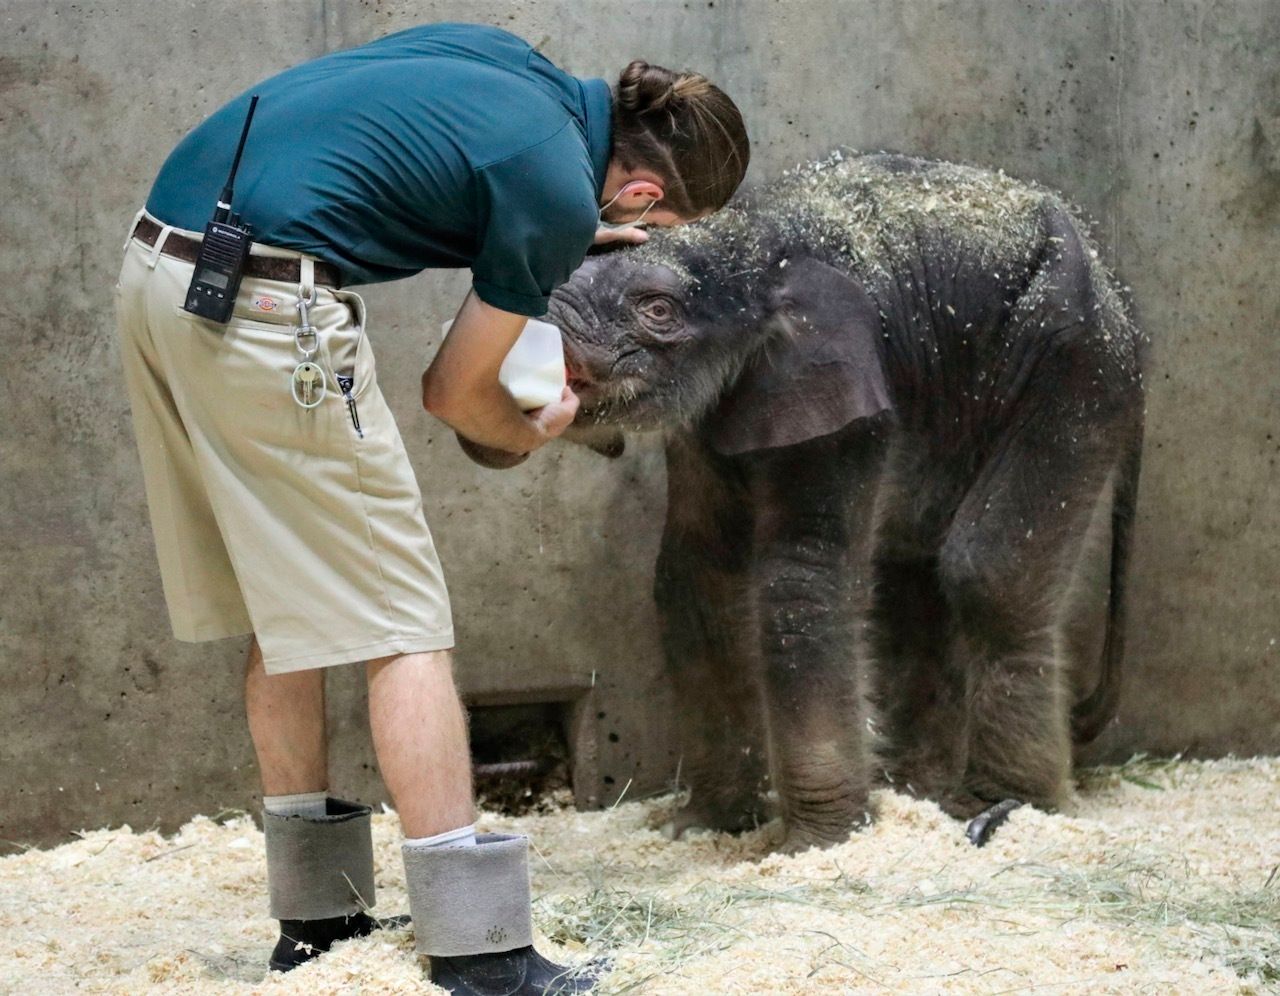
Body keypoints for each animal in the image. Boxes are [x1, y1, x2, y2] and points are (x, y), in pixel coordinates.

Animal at [535, 151, 1146, 850]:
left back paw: (997, 808)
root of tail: (1124, 306)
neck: (758, 239)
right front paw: (704, 828)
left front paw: (818, 844)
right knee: (912, 574)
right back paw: (919, 794)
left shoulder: (850, 391)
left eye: (657, 310)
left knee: (985, 573)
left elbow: (801, 581)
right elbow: (695, 579)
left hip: (1075, 367)